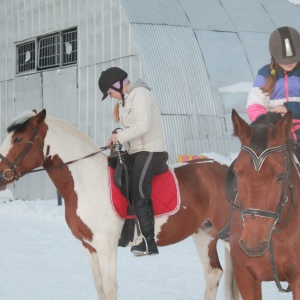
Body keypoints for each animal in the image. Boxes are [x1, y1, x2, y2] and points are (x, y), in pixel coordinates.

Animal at [0, 109, 239, 300]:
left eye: (19, 139)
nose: (1, 175)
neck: (88, 181)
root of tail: (225, 169)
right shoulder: (89, 246)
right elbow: (100, 288)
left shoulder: (106, 246)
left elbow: (110, 288)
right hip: (203, 234)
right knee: (213, 274)